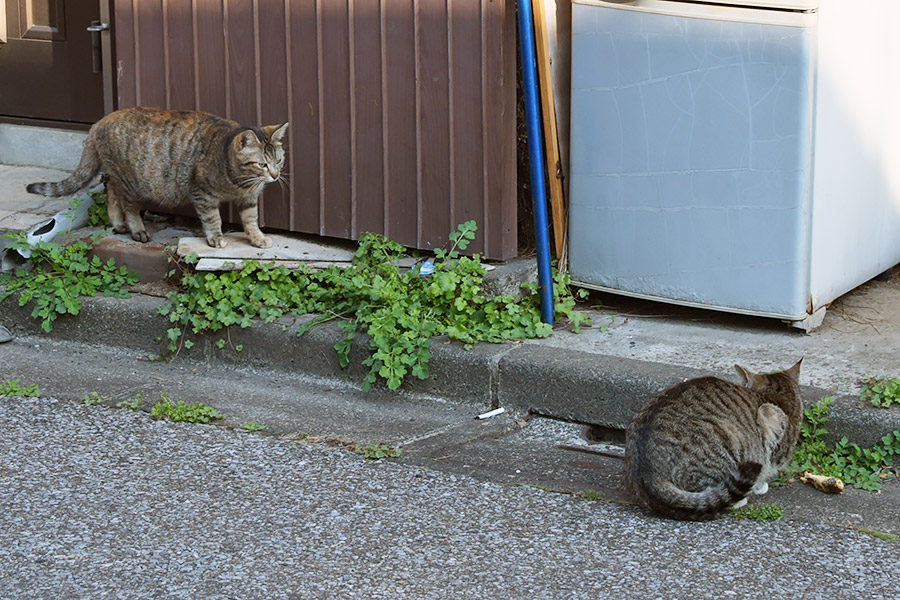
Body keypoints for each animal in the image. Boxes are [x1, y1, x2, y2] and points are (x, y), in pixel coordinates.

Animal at [27, 106, 288, 248]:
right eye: (262, 164)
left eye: (279, 161)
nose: (275, 176)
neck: (239, 181)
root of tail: (99, 122)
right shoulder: (201, 193)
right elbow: (213, 219)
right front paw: (216, 238)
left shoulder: (249, 198)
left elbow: (251, 220)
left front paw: (257, 238)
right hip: (132, 182)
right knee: (128, 205)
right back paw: (136, 229)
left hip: (118, 176)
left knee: (110, 189)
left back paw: (117, 223)